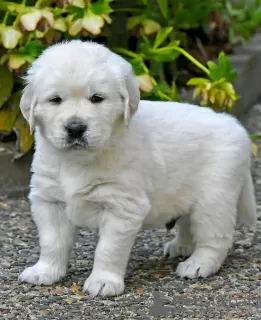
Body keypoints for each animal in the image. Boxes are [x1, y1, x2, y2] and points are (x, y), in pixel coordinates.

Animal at [18, 40, 256, 298]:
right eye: (55, 100)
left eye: (97, 98)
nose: (75, 128)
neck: (79, 160)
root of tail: (235, 125)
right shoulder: (49, 201)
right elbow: (51, 242)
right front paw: (45, 271)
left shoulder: (122, 207)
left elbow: (107, 249)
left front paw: (103, 281)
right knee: (188, 221)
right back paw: (181, 246)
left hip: (214, 197)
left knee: (216, 238)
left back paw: (199, 264)